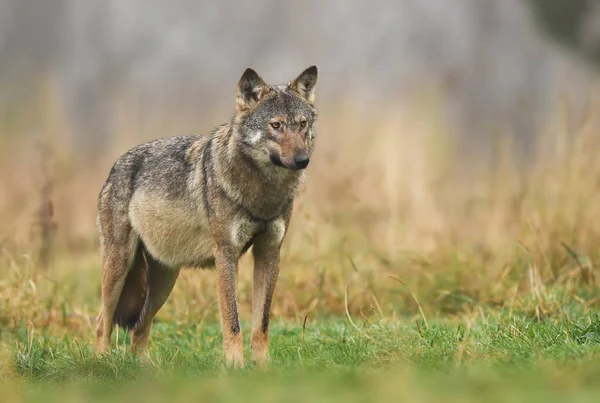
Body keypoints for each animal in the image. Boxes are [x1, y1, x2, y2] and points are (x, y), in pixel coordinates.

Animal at [95, 66, 318, 370]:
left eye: (302, 124)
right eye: (276, 125)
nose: (302, 160)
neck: (263, 192)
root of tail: (115, 166)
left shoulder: (269, 253)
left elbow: (261, 323)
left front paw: (263, 367)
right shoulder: (226, 254)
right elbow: (232, 321)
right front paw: (235, 366)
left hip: (164, 281)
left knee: (139, 330)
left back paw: (148, 369)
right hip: (119, 267)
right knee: (101, 323)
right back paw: (102, 364)